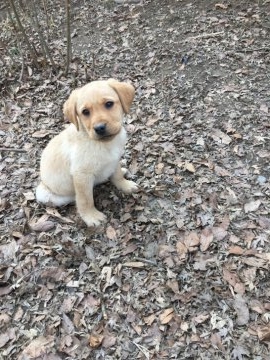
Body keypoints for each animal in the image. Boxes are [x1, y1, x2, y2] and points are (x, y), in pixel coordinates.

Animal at [35, 79, 138, 225]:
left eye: (109, 104)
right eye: (85, 112)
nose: (99, 128)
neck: (100, 143)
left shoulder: (115, 159)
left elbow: (117, 175)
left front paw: (125, 185)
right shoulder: (81, 175)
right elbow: (86, 199)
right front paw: (91, 216)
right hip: (47, 193)